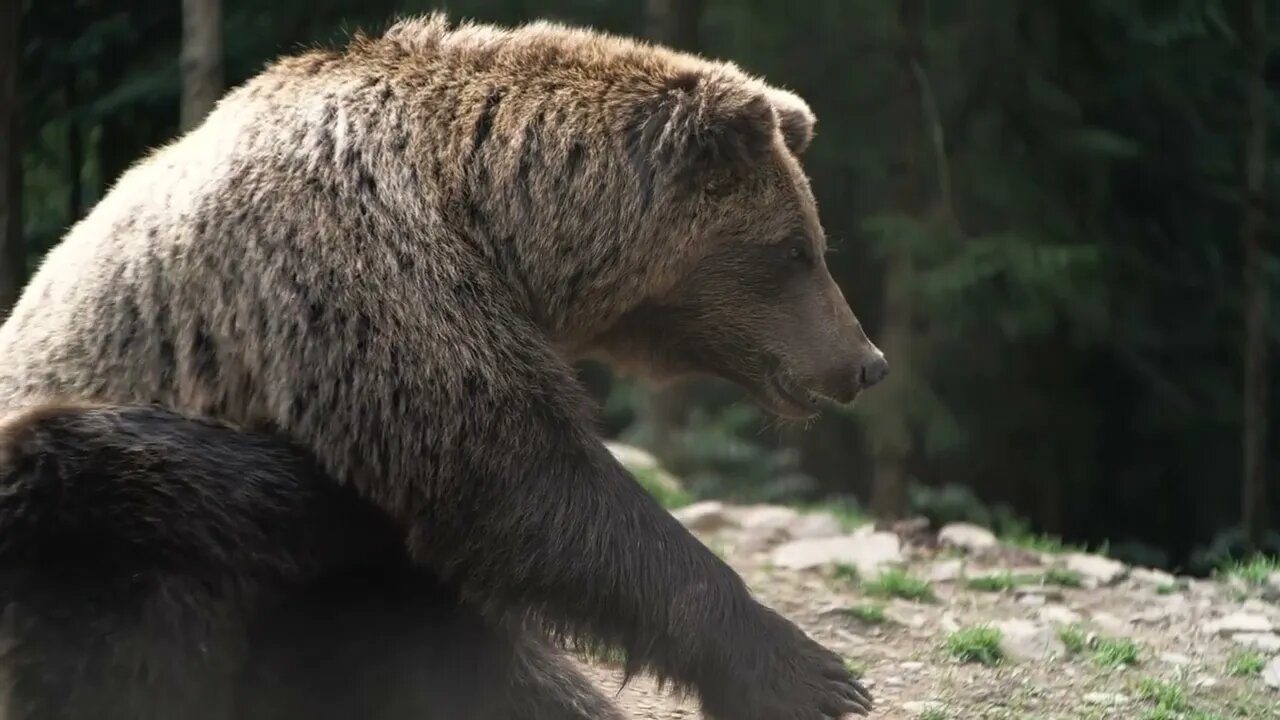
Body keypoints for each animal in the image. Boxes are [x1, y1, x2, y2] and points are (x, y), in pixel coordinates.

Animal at [0, 11, 880, 717]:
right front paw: (811, 672)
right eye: (795, 250)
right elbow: (524, 478)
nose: (864, 362)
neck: (498, 225)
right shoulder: (362, 275)